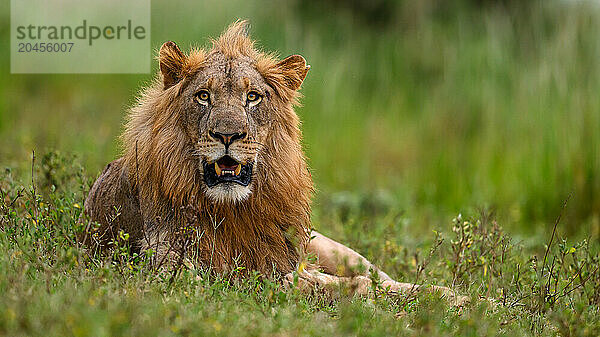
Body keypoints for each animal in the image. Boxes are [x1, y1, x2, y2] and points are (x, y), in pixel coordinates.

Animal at [83, 19, 464, 300]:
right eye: (203, 96)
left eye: (253, 97)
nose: (228, 135)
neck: (232, 210)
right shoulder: (166, 261)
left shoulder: (283, 261)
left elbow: (322, 281)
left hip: (327, 246)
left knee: (383, 277)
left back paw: (459, 297)